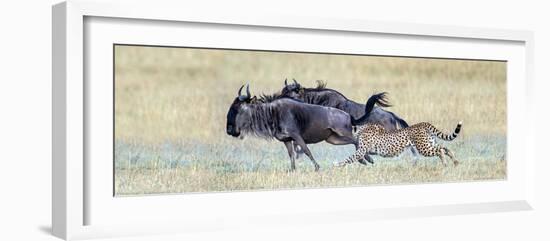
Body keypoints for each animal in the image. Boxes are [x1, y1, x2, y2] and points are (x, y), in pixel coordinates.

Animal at [334, 121, 464, 167]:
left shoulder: (361, 150)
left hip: (424, 147)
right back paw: (455, 162)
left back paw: (446, 163)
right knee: (445, 147)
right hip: (429, 143)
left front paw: (338, 164)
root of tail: (423, 123)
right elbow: (360, 156)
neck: (361, 129)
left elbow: (350, 158)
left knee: (440, 150)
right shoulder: (365, 150)